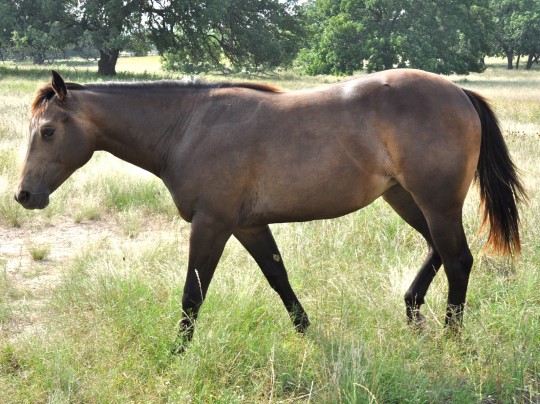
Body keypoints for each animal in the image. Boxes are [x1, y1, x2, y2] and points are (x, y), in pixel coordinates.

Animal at [14, 69, 524, 350]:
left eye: (49, 131)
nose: (24, 195)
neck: (187, 127)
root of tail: (459, 93)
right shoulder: (250, 226)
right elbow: (279, 278)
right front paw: (307, 332)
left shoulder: (212, 225)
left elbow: (192, 294)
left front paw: (177, 354)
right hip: (406, 198)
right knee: (438, 250)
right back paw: (413, 311)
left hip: (436, 200)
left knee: (458, 259)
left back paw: (450, 338)